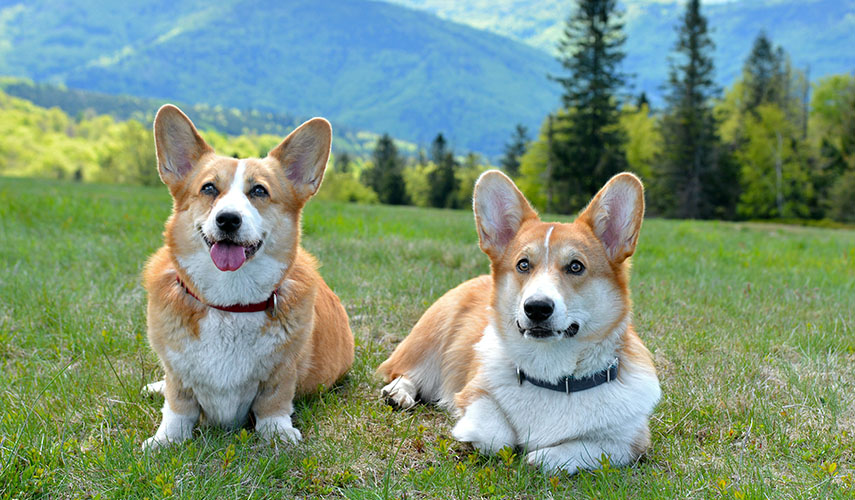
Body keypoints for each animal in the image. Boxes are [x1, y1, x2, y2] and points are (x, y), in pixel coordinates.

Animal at [144, 105, 354, 450]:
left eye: (259, 191)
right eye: (208, 188)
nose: (228, 219)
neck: (229, 304)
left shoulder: (281, 372)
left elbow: (273, 403)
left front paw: (278, 434)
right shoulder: (178, 373)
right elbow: (178, 406)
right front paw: (166, 439)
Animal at [380, 171, 664, 472]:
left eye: (576, 266)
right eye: (523, 264)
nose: (537, 308)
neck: (550, 375)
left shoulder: (630, 442)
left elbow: (585, 449)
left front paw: (542, 457)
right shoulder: (475, 392)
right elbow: (496, 436)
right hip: (431, 341)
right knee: (404, 371)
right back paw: (398, 393)